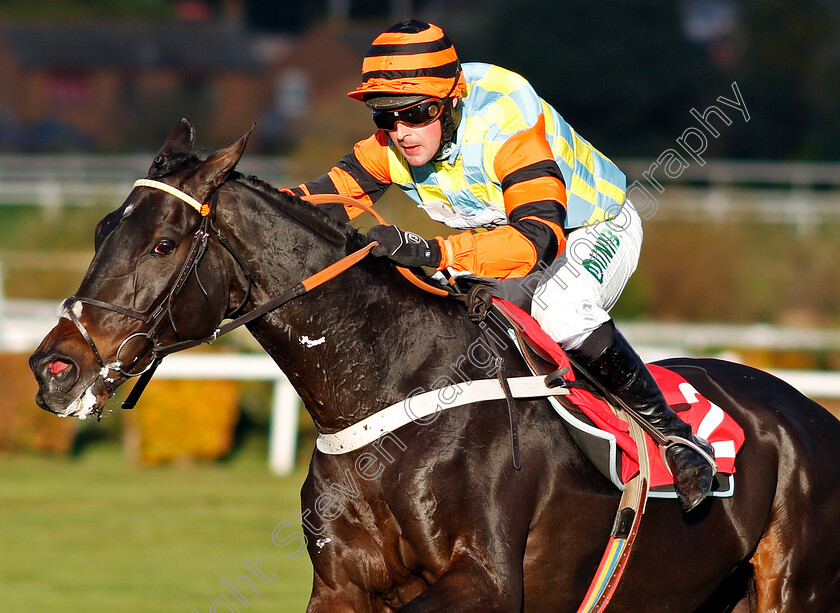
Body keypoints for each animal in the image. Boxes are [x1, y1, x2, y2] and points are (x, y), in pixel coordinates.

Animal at [29, 118, 840, 608]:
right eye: (101, 229)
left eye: (163, 243)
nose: (53, 367)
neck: (391, 395)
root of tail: (811, 413)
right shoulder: (342, 586)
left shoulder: (483, 582)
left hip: (793, 589)